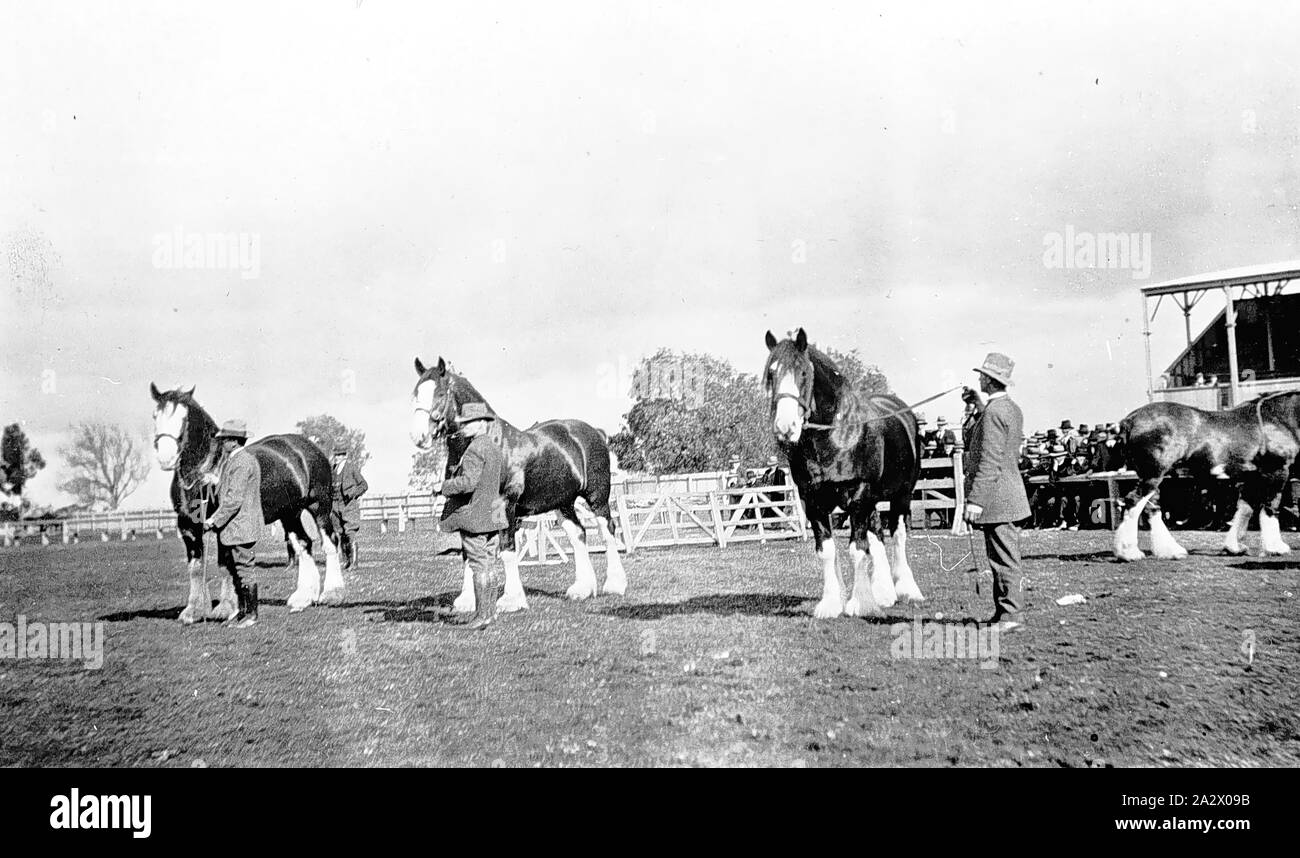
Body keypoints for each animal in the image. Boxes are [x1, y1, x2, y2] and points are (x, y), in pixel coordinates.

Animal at [148, 384, 345, 624]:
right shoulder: (188, 528)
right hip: (290, 513)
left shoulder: (223, 524)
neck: (205, 473)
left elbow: (225, 564)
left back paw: (333, 593)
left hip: (320, 506)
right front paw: (193, 610)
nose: (165, 458)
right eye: (155, 415)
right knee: (303, 544)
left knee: (330, 542)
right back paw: (303, 597)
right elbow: (196, 567)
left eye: (184, 418)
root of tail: (309, 448)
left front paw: (225, 607)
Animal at [408, 358, 626, 613]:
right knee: (578, 534)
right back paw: (582, 589)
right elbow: (469, 553)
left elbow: (507, 549)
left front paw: (511, 600)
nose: (419, 436)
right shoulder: (464, 506)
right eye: (416, 393)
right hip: (562, 502)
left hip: (597, 497)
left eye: (440, 393)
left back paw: (615, 584)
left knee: (607, 531)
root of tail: (596, 432)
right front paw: (467, 600)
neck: (486, 443)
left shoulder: (505, 506)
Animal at [759, 328, 925, 616]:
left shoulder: (858, 495)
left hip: (902, 494)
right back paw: (883, 592)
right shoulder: (813, 501)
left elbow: (857, 549)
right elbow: (827, 550)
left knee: (898, 534)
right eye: (771, 373)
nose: (785, 427)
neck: (836, 437)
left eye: (804, 373)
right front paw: (831, 603)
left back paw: (907, 589)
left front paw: (859, 603)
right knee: (877, 534)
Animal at [1107, 390, 1300, 564]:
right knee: (1134, 502)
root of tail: (1129, 420)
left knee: (1151, 508)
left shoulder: (1253, 478)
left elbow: (1245, 509)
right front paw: (1276, 547)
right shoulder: (1277, 472)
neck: (1277, 419)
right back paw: (1129, 553)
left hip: (1152, 478)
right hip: (1152, 475)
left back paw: (1171, 551)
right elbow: (1270, 507)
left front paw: (1234, 547)